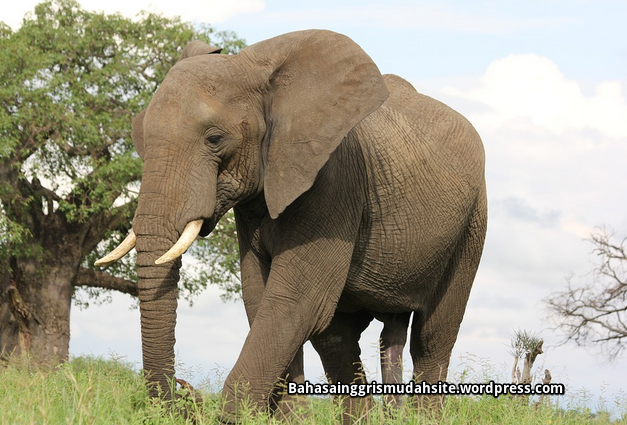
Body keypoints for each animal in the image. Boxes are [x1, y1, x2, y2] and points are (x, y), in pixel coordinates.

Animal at [95, 29, 488, 420]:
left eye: (215, 139)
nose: (182, 395)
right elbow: (261, 297)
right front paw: (287, 418)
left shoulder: (334, 178)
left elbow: (296, 300)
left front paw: (233, 417)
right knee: (341, 339)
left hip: (471, 224)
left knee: (431, 337)